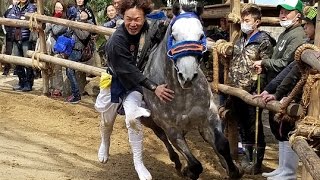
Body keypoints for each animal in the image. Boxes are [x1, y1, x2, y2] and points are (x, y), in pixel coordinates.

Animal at [141, 3, 244, 180]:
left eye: (201, 35)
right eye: (174, 36)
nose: (187, 75)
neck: (183, 95)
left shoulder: (210, 114)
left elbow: (222, 144)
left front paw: (233, 169)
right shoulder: (172, 129)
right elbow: (195, 165)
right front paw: (187, 170)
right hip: (149, 121)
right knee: (162, 137)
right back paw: (177, 163)